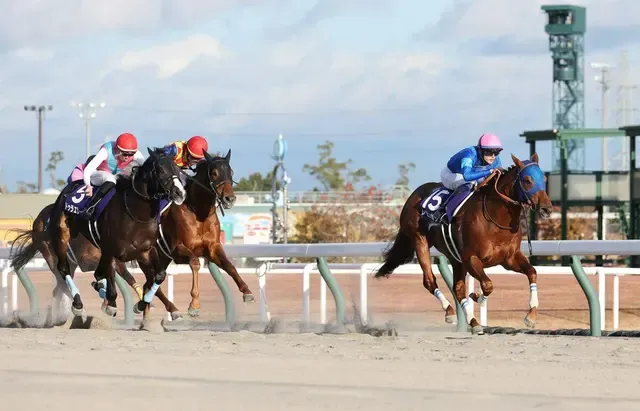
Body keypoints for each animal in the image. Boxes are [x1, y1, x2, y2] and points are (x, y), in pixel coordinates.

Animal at [47, 148, 188, 318]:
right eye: (161, 170)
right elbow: (112, 278)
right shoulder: (112, 250)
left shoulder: (144, 251)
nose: (180, 193)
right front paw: (111, 304)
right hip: (61, 235)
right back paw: (78, 303)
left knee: (97, 273)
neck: (136, 214)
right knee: (64, 268)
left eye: (178, 170)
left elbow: (158, 276)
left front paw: (142, 304)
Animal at [372, 154, 552, 334]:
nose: (547, 209)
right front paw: (477, 297)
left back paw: (473, 322)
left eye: (543, 179)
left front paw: (531, 316)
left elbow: (532, 272)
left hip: (454, 257)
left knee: (457, 289)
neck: (496, 219)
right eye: (527, 180)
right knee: (430, 281)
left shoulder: (509, 259)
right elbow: (487, 285)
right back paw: (450, 312)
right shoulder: (471, 258)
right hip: (420, 241)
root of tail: (413, 195)